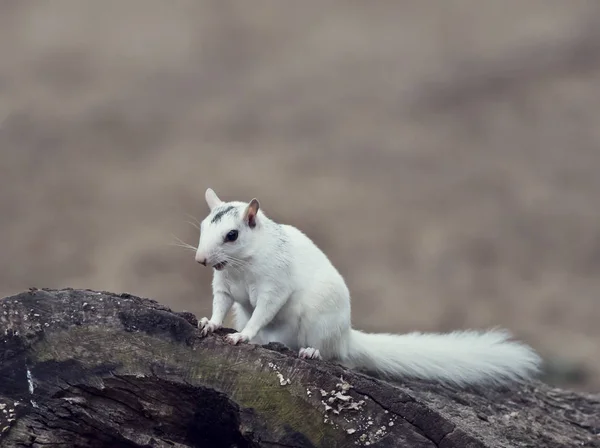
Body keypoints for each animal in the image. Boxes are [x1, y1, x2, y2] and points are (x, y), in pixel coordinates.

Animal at [195, 187, 540, 386]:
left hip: (321, 319)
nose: (200, 259)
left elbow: (263, 312)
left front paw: (242, 336)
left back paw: (311, 351)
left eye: (232, 235)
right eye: (202, 226)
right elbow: (220, 306)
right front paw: (210, 324)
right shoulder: (224, 287)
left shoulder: (273, 284)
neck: (240, 267)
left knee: (329, 352)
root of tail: (346, 337)